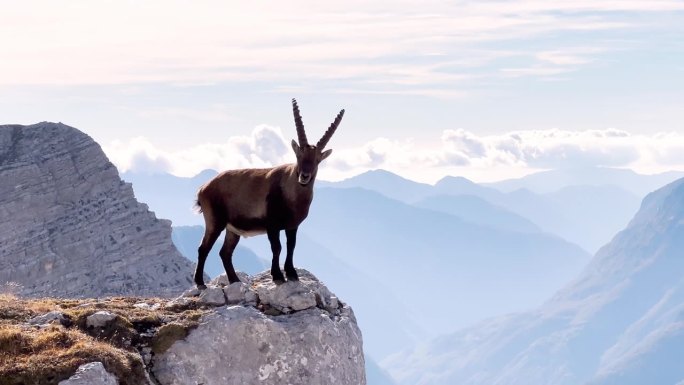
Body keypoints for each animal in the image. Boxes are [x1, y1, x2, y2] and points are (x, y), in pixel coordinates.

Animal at [192, 97, 344, 286]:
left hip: (232, 229)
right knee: (203, 248)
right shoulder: (272, 225)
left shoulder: (292, 226)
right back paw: (200, 282)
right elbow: (276, 247)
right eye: (298, 156)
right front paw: (277, 275)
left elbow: (291, 246)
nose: (304, 176)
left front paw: (291, 273)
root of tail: (203, 188)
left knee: (225, 252)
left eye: (318, 160)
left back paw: (235, 280)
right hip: (215, 220)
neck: (291, 194)